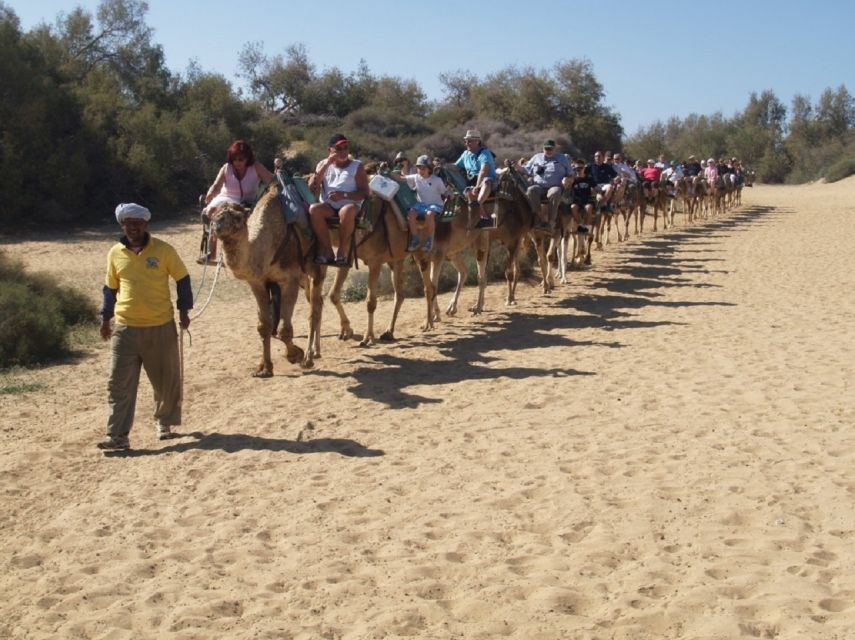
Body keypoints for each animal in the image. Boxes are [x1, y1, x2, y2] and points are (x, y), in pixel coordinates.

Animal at [210, 185, 324, 376]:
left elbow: (284, 330)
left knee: (314, 308)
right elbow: (264, 326)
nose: (217, 225)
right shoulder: (257, 283)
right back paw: (316, 351)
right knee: (318, 302)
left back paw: (309, 358)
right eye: (214, 216)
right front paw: (264, 368)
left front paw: (295, 355)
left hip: (316, 266)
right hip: (304, 278)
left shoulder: (289, 279)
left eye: (238, 218)